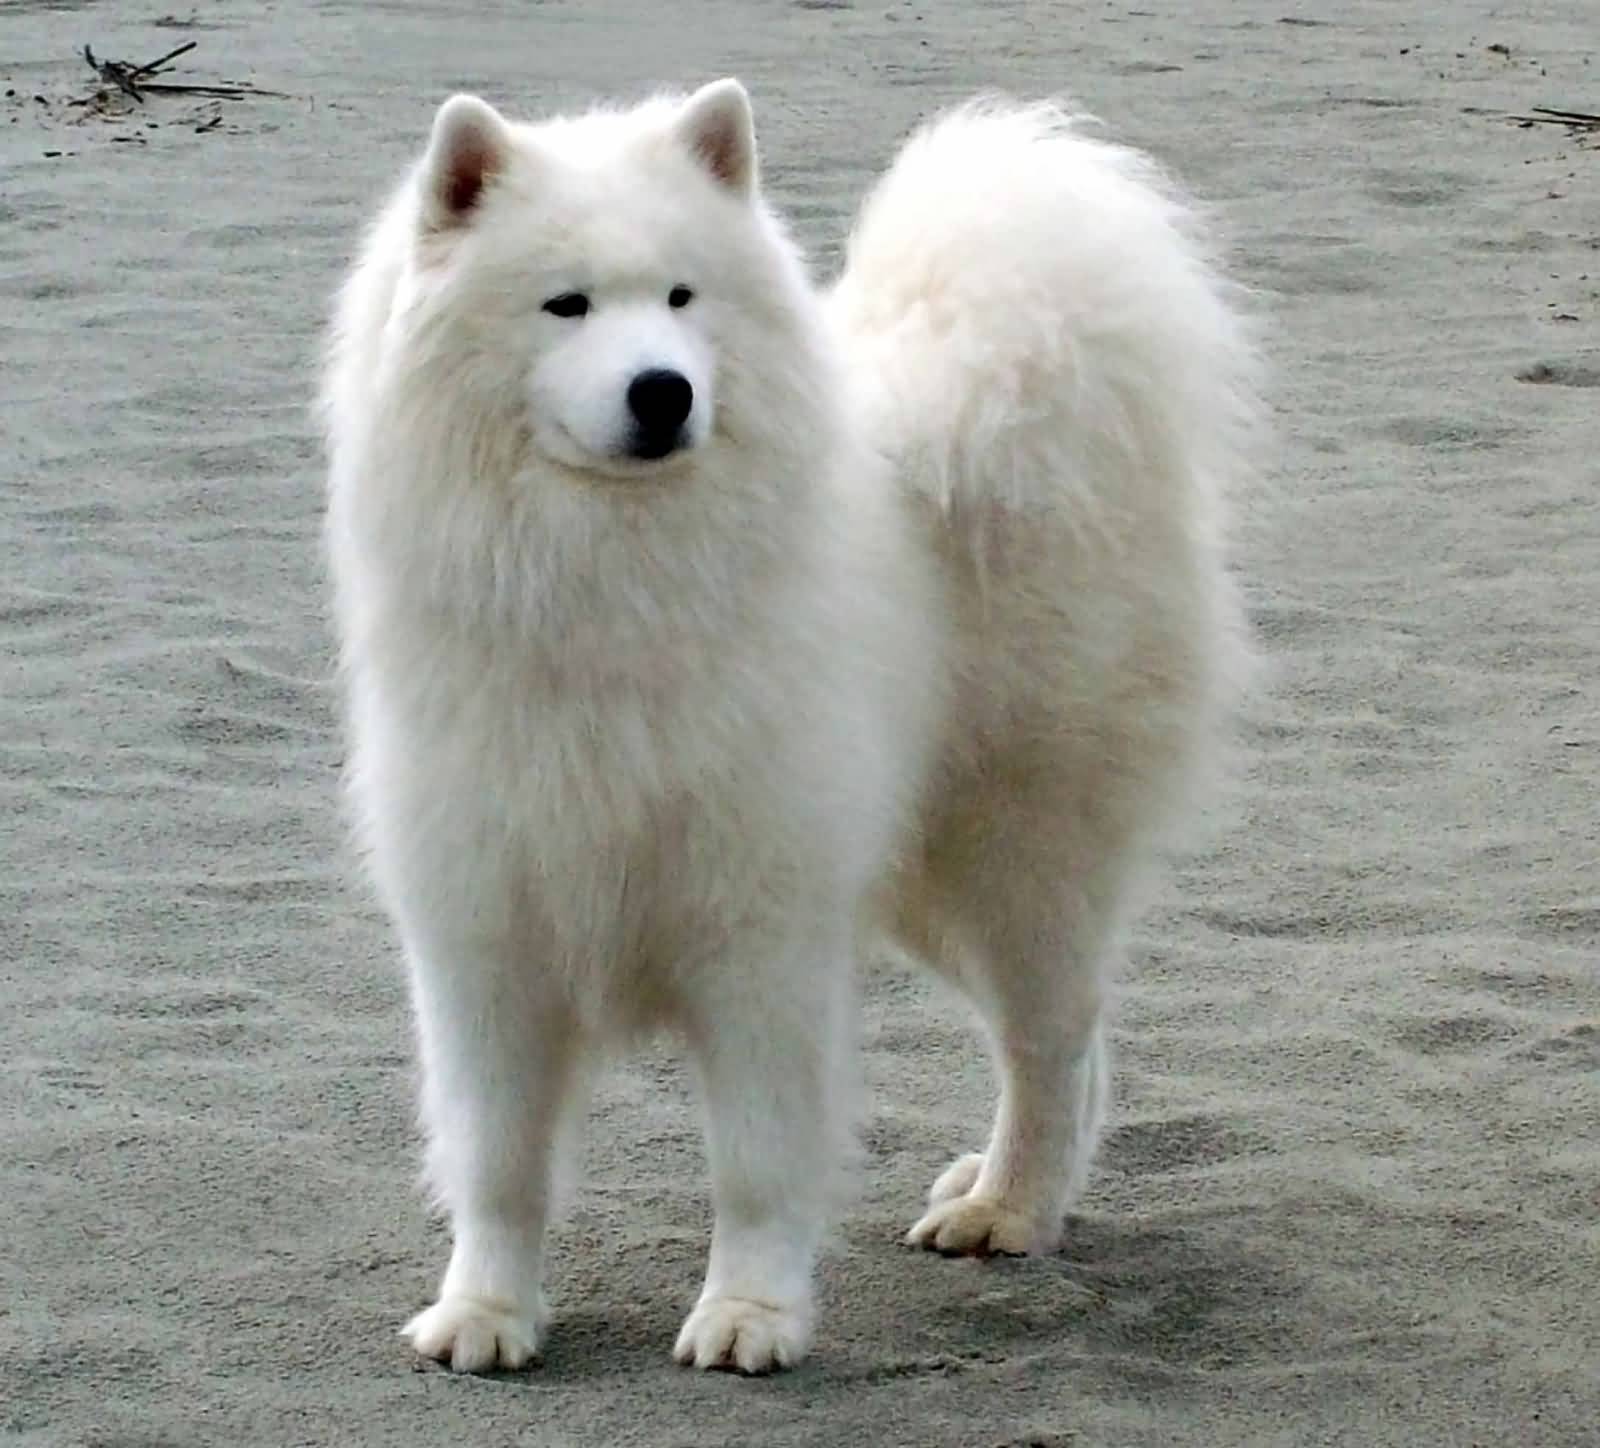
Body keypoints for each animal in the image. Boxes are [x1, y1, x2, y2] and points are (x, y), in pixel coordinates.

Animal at [318, 79, 1254, 1376]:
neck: (615, 580)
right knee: (1082, 1033)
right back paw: (1012, 1187)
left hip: (1014, 861)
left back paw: (1009, 1205)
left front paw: (749, 1313)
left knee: (1051, 1038)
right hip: (927, 887)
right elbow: (496, 1160)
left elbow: (757, 1161)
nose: (663, 388)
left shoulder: (761, 935)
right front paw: (487, 1311)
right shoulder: (486, 934)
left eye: (679, 298)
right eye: (566, 303)